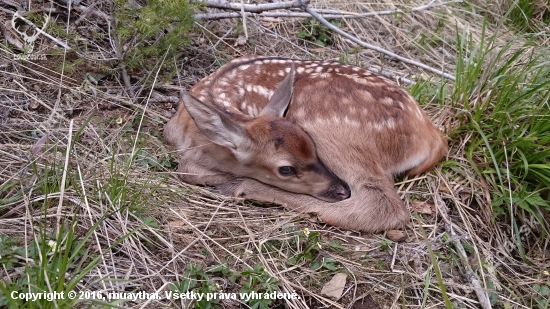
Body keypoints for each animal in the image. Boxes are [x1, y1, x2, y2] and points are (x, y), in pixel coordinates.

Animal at [165, 55, 448, 232]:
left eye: (312, 150)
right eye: (286, 169)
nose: (339, 189)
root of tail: (431, 134)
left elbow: (189, 168)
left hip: (330, 125)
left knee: (381, 206)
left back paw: (242, 187)